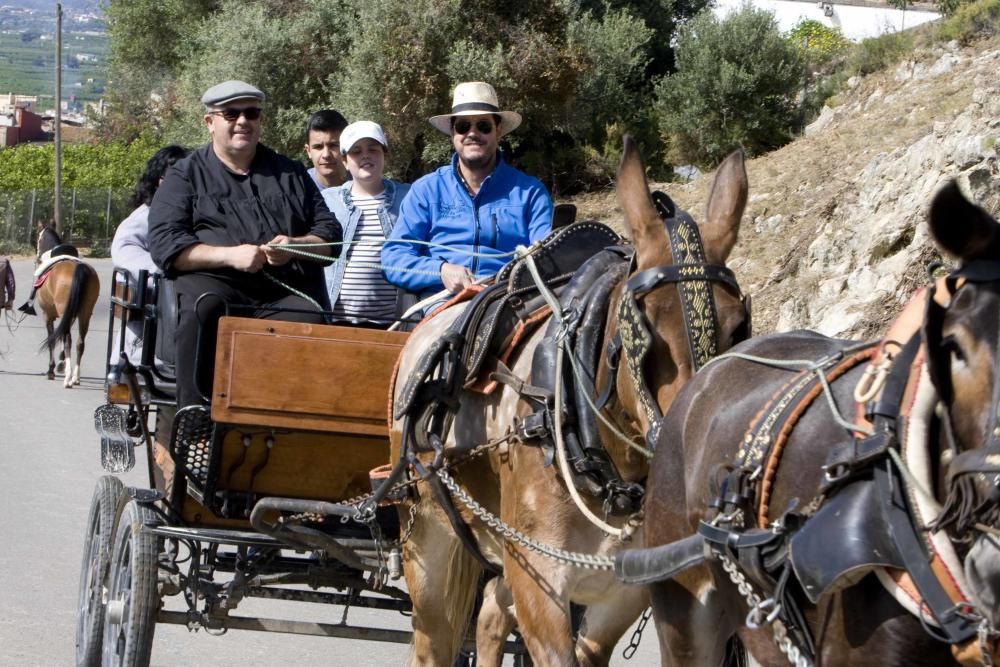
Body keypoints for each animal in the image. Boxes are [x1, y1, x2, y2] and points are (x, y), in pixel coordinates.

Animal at [390, 138, 752, 664]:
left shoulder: (629, 592)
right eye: (641, 328)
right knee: (434, 637)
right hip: (428, 535)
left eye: (738, 326)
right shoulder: (539, 579)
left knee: (491, 611)